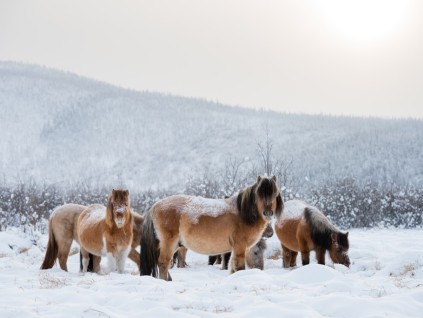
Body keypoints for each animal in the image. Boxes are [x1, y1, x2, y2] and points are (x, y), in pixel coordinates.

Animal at [141, 175, 284, 280]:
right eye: (259, 194)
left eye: (275, 194)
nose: (267, 213)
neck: (243, 214)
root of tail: (155, 206)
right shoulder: (240, 247)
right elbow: (239, 268)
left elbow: (232, 268)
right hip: (169, 243)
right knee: (163, 263)